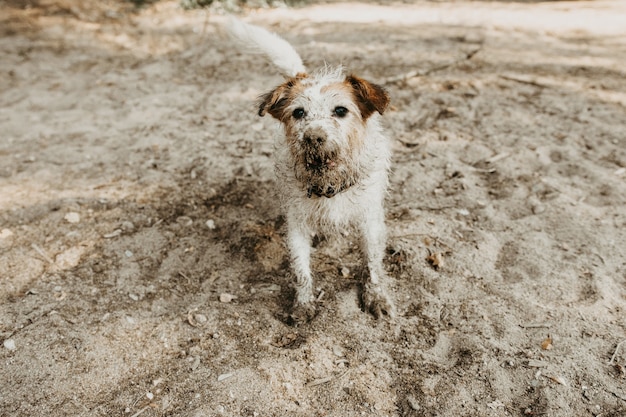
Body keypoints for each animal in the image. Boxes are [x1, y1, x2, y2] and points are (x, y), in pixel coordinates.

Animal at [224, 17, 392, 322]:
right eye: (299, 112)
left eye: (341, 110)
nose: (313, 137)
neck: (329, 185)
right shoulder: (297, 224)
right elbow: (301, 269)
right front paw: (303, 304)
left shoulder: (369, 221)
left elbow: (372, 265)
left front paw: (376, 297)